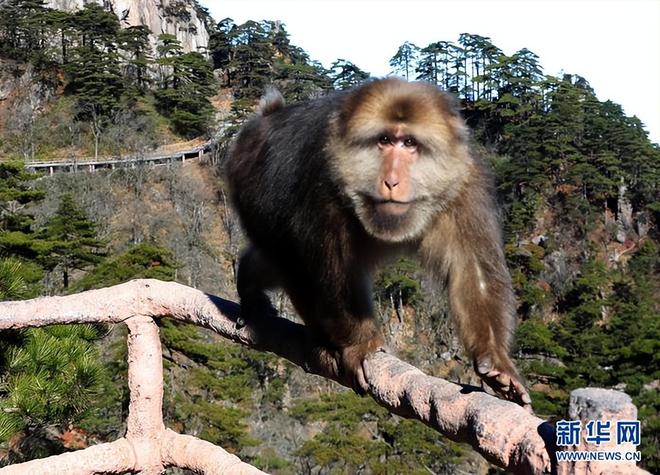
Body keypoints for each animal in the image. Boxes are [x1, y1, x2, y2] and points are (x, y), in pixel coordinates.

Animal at [224, 77, 532, 410]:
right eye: (384, 140)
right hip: (248, 182)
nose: (392, 181)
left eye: (409, 143)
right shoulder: (323, 183)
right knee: (287, 258)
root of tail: (266, 119)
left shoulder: (463, 184)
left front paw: (495, 361)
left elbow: (471, 269)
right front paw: (358, 343)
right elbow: (326, 269)